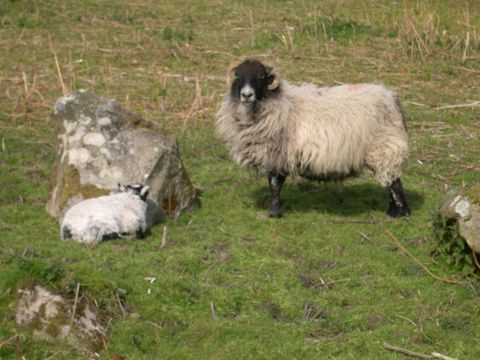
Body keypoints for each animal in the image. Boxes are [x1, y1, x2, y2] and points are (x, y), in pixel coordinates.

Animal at [216, 58, 410, 219]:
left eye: (261, 76)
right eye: (238, 75)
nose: (246, 95)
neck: (277, 103)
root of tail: (392, 98)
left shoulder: (278, 154)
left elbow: (274, 184)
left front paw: (275, 213)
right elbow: (275, 184)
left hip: (385, 147)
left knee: (394, 182)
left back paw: (401, 213)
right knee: (390, 180)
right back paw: (392, 211)